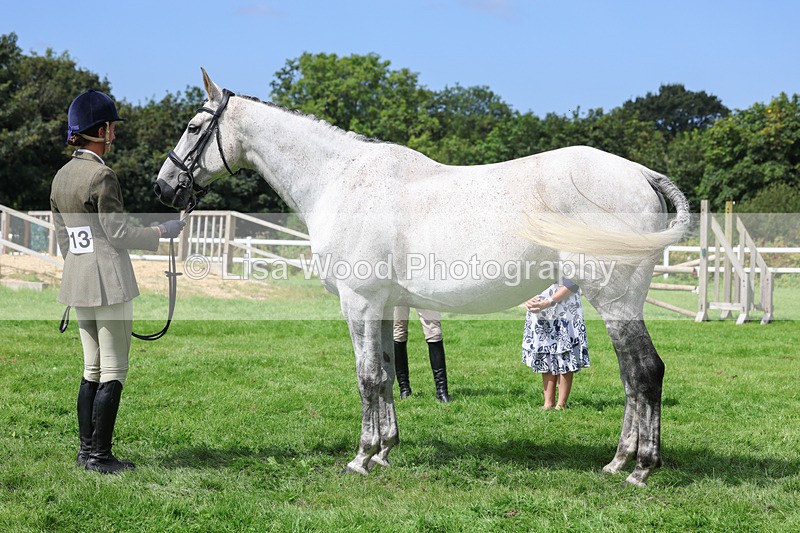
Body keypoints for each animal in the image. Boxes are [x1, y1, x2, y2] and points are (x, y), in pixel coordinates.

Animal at [155, 69, 690, 487]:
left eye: (193, 126)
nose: (163, 187)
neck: (340, 180)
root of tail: (641, 174)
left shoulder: (358, 301)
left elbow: (367, 377)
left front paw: (361, 457)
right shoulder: (383, 305)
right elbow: (387, 373)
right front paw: (386, 450)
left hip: (615, 300)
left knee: (645, 372)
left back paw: (641, 469)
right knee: (631, 376)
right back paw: (618, 462)